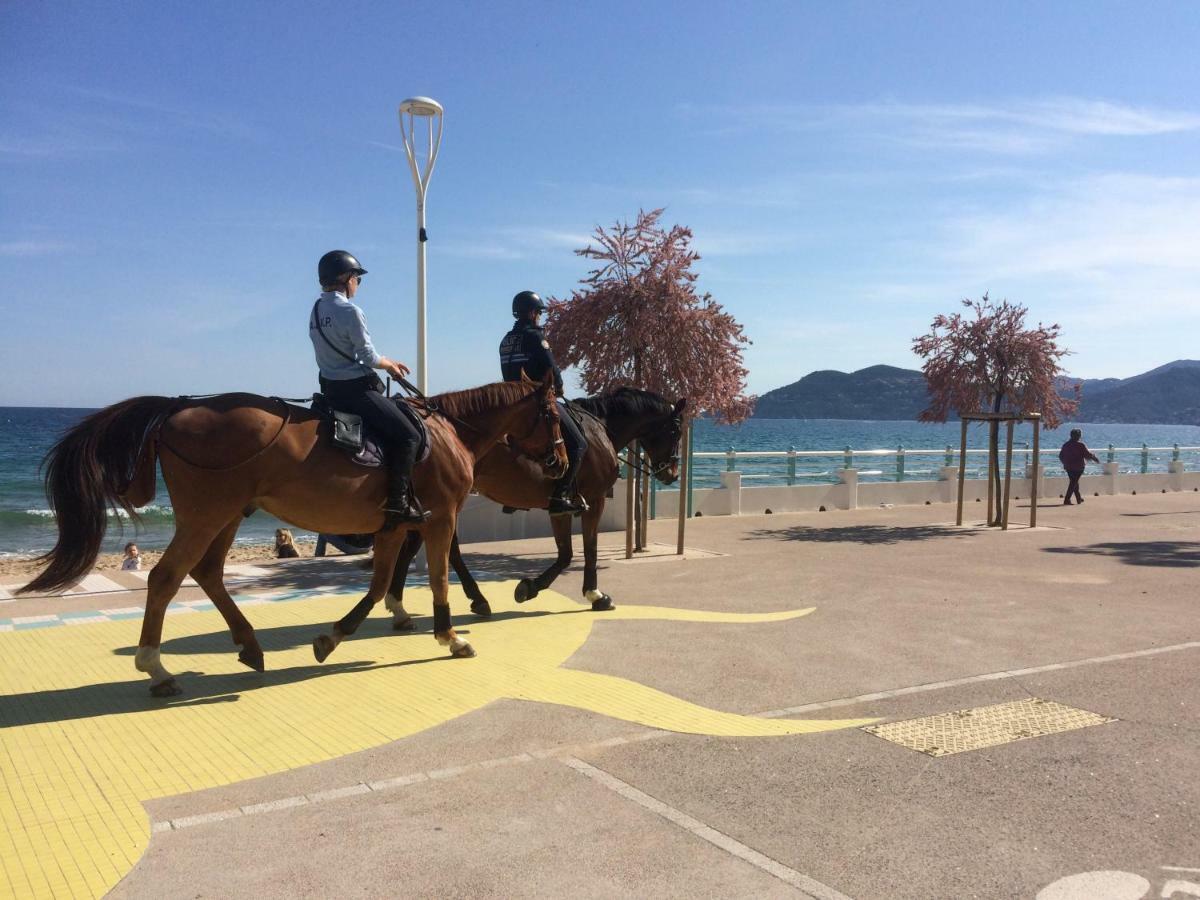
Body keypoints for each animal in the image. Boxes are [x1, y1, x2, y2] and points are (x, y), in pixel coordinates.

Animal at [21, 374, 566, 696]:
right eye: (552, 413)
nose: (561, 460)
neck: (449, 434)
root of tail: (176, 410)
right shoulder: (438, 518)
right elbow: (435, 579)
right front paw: (450, 636)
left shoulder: (393, 524)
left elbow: (377, 585)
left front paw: (333, 637)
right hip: (206, 514)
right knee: (166, 578)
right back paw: (156, 667)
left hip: (227, 515)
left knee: (208, 573)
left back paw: (248, 645)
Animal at [384, 388, 686, 633]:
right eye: (676, 432)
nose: (672, 473)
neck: (601, 429)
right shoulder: (594, 500)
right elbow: (587, 549)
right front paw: (593, 594)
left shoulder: (560, 508)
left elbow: (566, 553)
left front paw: (531, 587)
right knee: (441, 547)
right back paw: (467, 599)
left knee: (422, 544)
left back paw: (404, 605)